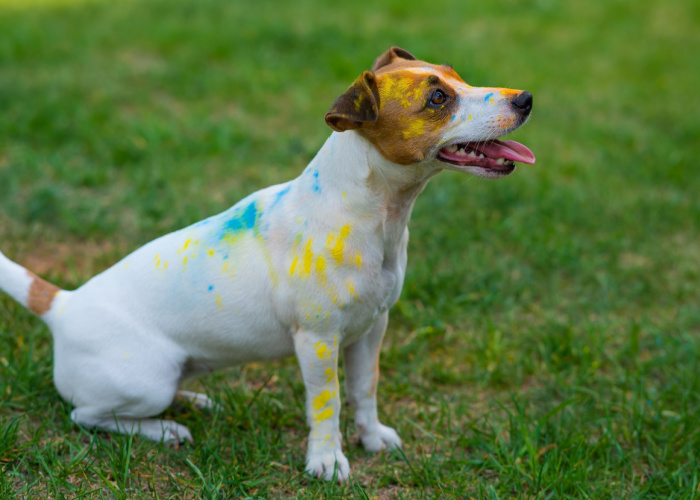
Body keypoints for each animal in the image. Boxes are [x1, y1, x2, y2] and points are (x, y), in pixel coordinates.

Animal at [0, 47, 536, 480]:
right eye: (437, 99)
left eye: (456, 75)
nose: (526, 98)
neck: (370, 214)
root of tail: (63, 305)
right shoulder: (317, 340)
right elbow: (327, 404)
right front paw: (327, 461)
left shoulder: (371, 330)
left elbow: (364, 390)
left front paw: (372, 438)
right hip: (144, 380)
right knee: (89, 416)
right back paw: (166, 428)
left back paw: (192, 401)